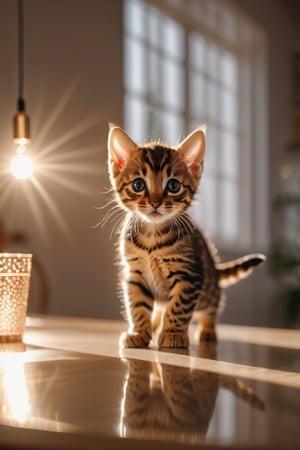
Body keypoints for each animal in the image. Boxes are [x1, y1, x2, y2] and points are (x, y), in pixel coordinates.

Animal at [106, 123, 266, 348]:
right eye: (138, 184)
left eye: (173, 186)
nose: (155, 202)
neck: (152, 237)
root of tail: (214, 268)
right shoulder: (135, 275)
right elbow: (137, 306)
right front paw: (139, 332)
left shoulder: (189, 275)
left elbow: (178, 307)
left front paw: (173, 333)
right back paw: (155, 324)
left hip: (207, 289)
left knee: (211, 307)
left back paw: (207, 330)